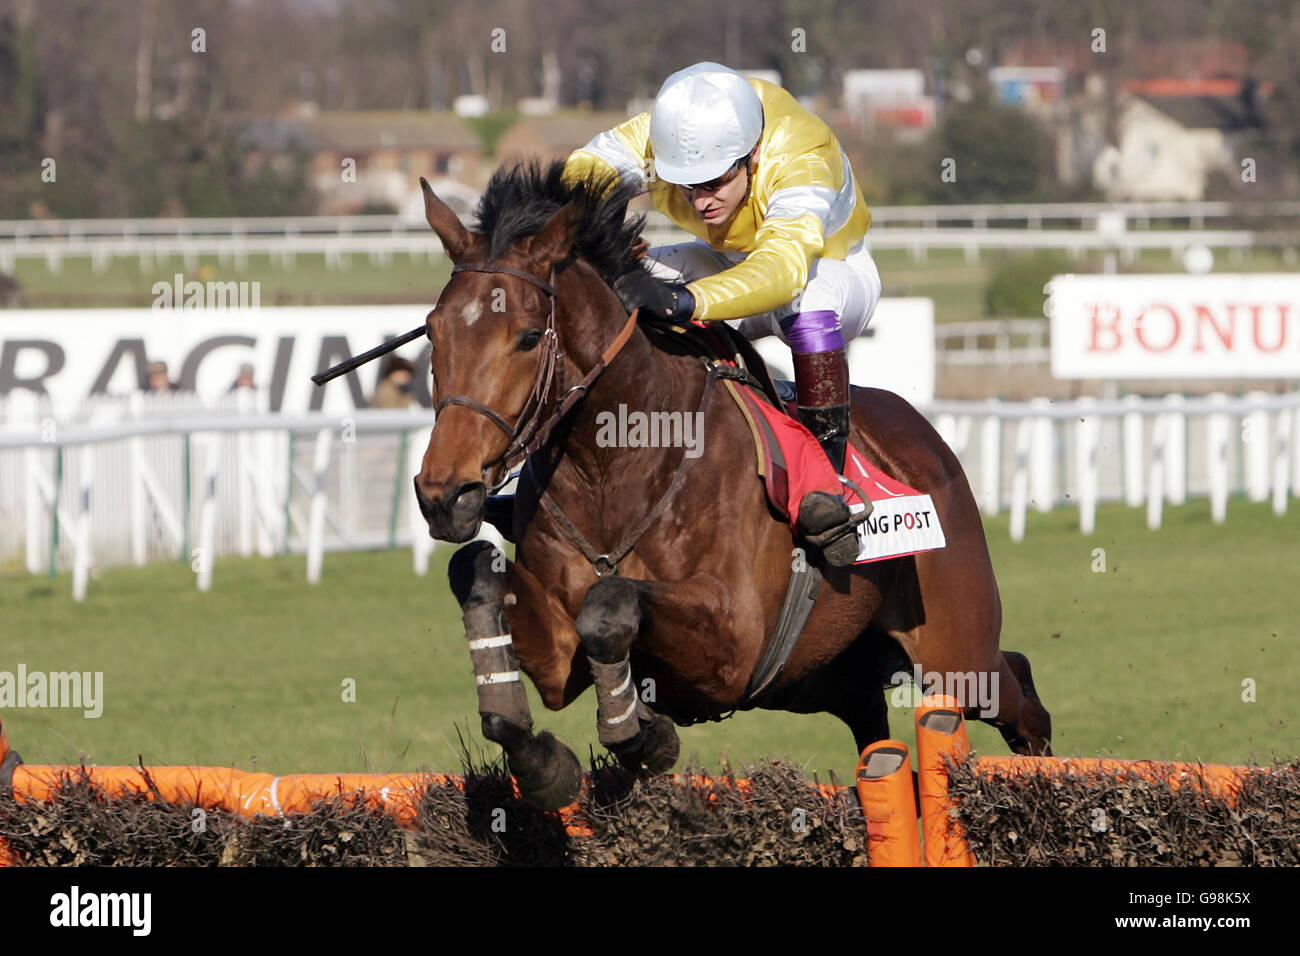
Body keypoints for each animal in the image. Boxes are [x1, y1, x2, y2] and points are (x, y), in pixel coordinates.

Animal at [416, 162, 1055, 806]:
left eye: (527, 336)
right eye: (432, 332)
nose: (444, 495)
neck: (614, 468)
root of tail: (923, 436)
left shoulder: (733, 641)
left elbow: (610, 603)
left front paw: (641, 734)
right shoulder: (560, 655)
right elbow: (477, 576)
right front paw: (544, 758)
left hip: (956, 655)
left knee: (1019, 688)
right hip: (816, 677)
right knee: (873, 721)